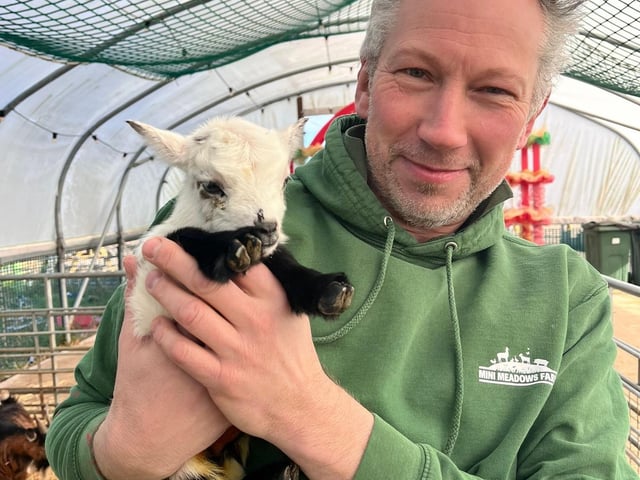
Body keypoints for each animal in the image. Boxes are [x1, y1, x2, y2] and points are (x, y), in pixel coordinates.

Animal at [127, 116, 354, 480]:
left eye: (284, 179)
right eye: (210, 186)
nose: (267, 228)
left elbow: (281, 261)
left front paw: (328, 290)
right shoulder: (150, 290)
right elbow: (182, 237)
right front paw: (232, 248)